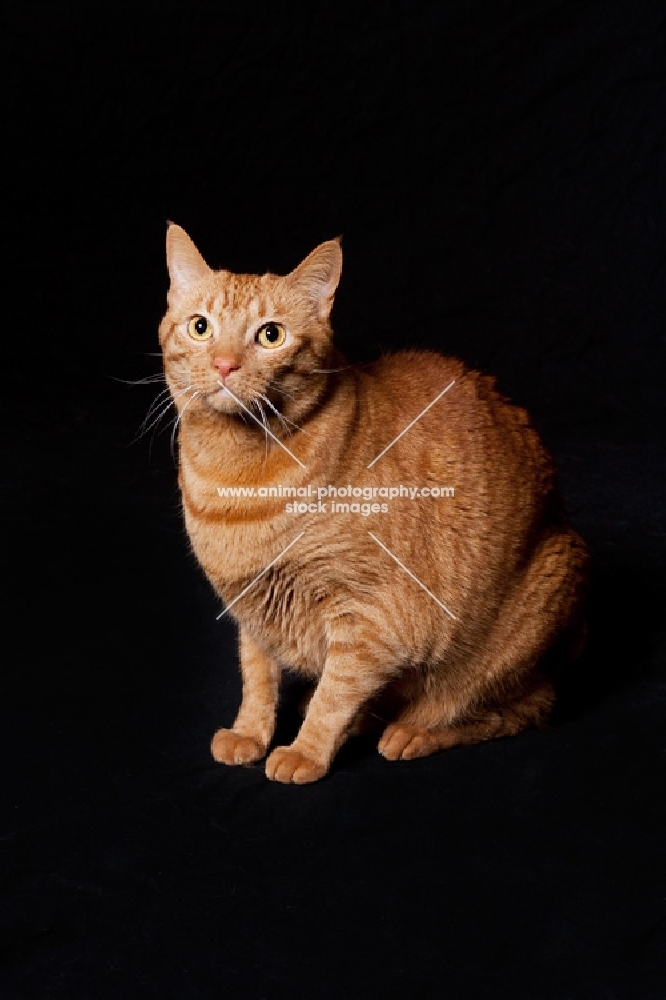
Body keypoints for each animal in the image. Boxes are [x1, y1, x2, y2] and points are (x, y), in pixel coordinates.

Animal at [160, 225, 588, 780]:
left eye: (270, 335)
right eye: (200, 328)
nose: (224, 364)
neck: (233, 478)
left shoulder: (369, 619)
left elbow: (336, 694)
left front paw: (305, 751)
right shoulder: (252, 612)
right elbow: (257, 677)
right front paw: (252, 732)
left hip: (539, 595)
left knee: (510, 709)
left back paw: (414, 731)